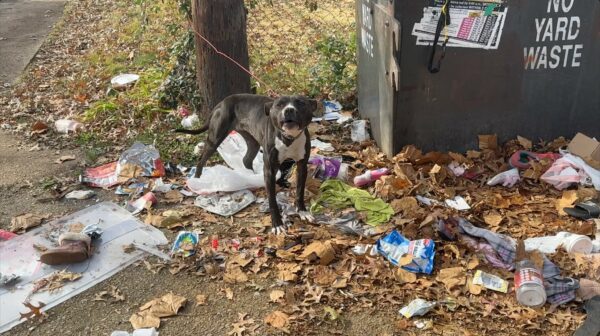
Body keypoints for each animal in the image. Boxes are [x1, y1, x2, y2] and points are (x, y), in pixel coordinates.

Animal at [177, 92, 318, 234]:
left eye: (301, 103)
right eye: (279, 104)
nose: (289, 110)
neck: (289, 138)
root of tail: (223, 102)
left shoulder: (302, 166)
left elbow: (300, 191)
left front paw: (302, 211)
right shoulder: (270, 170)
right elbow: (272, 200)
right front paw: (277, 224)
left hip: (252, 141)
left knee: (246, 159)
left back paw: (250, 177)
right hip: (215, 139)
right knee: (201, 160)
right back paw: (197, 180)